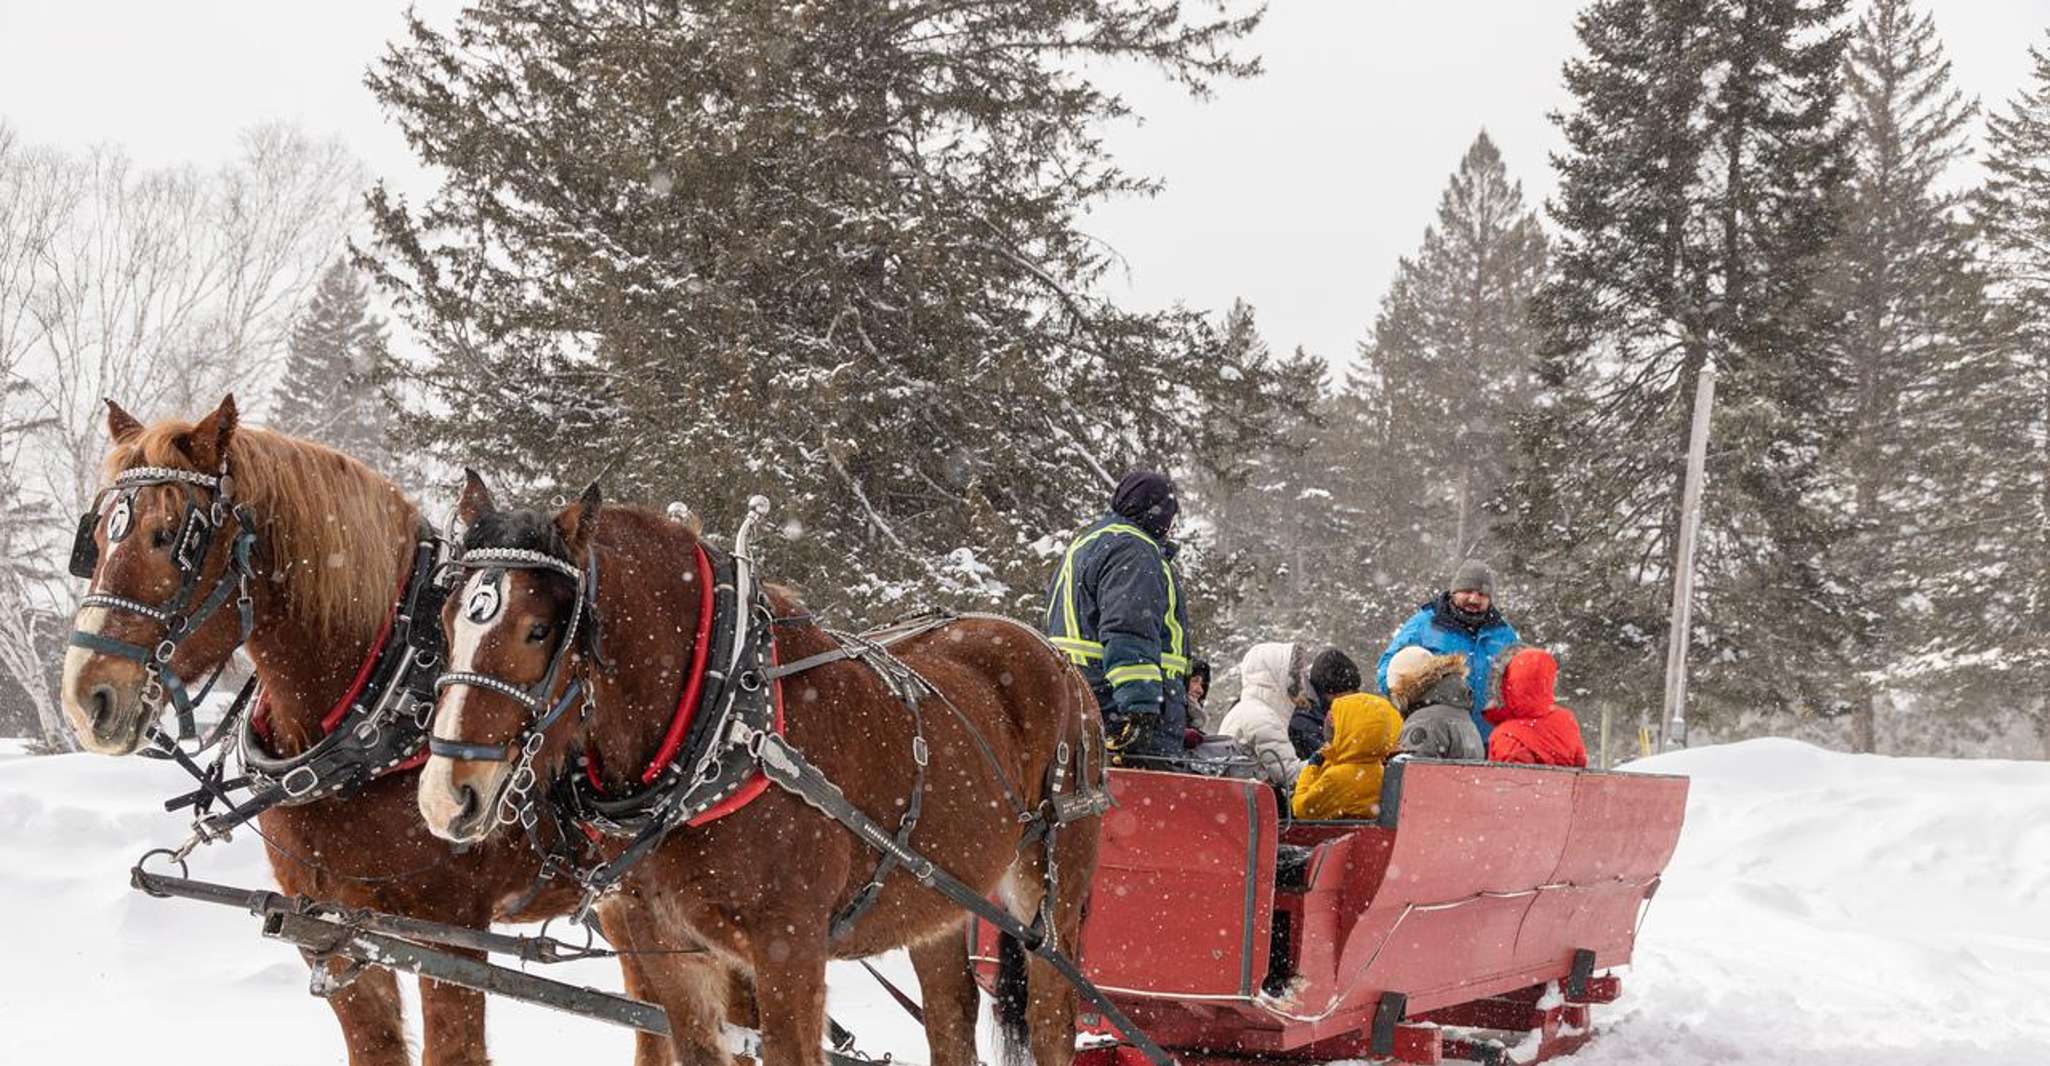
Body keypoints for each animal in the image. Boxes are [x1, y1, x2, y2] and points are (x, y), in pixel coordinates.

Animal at [58, 399, 738, 1066]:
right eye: (97, 534)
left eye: (171, 537)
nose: (87, 696)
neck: (379, 709)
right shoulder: (327, 926)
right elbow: (374, 1046)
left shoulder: (448, 933)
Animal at [418, 477, 1115, 1066]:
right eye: (447, 618)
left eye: (539, 631)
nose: (446, 798)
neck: (725, 725)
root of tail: (1056, 657)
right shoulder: (670, 950)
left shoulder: (789, 949)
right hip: (937, 901)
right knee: (950, 1017)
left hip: (1051, 891)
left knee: (1052, 1020)